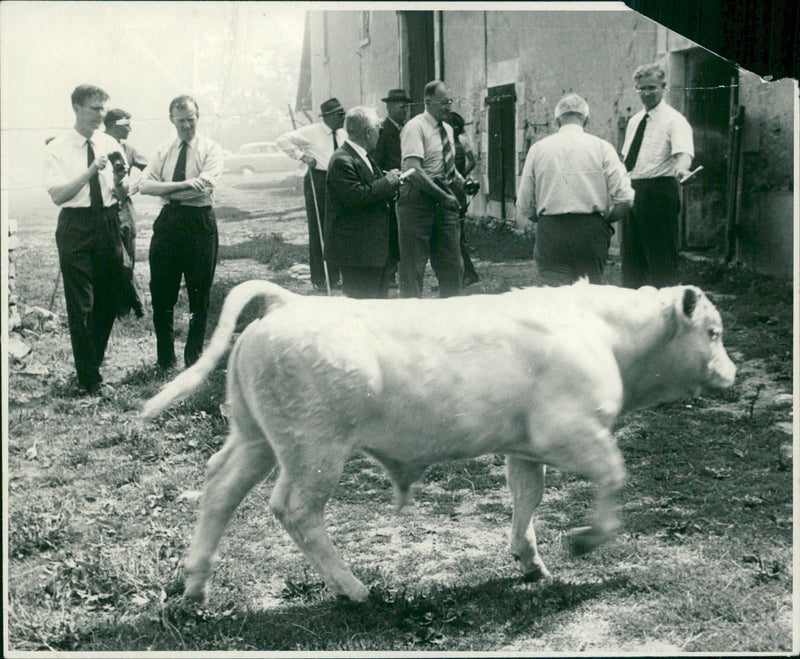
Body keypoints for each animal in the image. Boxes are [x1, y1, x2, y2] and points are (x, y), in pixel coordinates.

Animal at [141, 278, 736, 604]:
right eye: (713, 332)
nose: (732, 373)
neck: (604, 334)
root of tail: (291, 304)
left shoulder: (523, 445)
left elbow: (528, 497)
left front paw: (529, 560)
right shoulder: (572, 433)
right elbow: (613, 475)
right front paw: (586, 540)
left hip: (256, 439)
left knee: (220, 490)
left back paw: (196, 586)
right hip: (315, 452)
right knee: (295, 510)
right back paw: (353, 588)